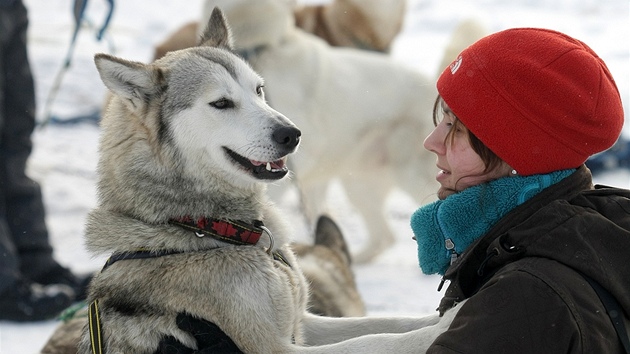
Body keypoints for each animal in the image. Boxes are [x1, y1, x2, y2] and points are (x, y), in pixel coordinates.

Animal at [43, 7, 464, 354]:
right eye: (221, 103)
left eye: (259, 91)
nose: (292, 134)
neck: (208, 229)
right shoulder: (275, 347)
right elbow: (378, 340)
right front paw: (441, 329)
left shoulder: (302, 322)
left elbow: (384, 323)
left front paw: (446, 313)